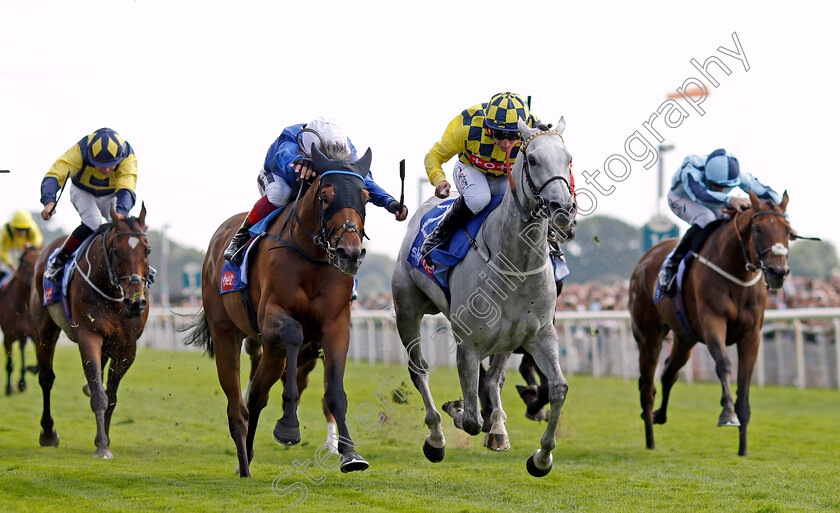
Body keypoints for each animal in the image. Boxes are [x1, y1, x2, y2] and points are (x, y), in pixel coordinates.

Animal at [0, 243, 40, 392]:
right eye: (26, 263)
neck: (21, 305)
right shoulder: (8, 337)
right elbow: (9, 364)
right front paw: (8, 387)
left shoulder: (34, 335)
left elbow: (37, 365)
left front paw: (30, 369)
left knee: (22, 348)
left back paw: (23, 382)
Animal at [29, 206, 153, 458]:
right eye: (116, 251)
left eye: (147, 250)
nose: (136, 302)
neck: (113, 295)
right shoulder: (89, 336)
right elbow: (98, 393)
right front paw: (102, 445)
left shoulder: (127, 347)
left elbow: (111, 396)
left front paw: (105, 437)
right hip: (45, 329)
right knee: (46, 378)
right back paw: (48, 432)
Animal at [187, 143, 374, 476]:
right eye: (326, 197)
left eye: (364, 197)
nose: (349, 253)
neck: (313, 260)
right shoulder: (271, 317)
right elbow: (294, 333)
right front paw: (288, 427)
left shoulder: (336, 325)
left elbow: (334, 393)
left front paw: (350, 454)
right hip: (227, 334)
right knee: (237, 405)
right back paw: (244, 465)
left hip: (270, 352)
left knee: (257, 395)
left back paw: (248, 456)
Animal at [390, 119, 576, 476]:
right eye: (532, 159)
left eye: (568, 158)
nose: (563, 208)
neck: (516, 265)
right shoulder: (469, 343)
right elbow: (472, 419)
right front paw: (457, 409)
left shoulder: (538, 334)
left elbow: (557, 388)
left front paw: (541, 458)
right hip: (407, 306)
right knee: (419, 370)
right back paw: (436, 437)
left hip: (506, 338)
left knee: (494, 379)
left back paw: (499, 428)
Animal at [632, 190, 796, 454]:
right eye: (758, 228)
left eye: (788, 231)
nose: (778, 272)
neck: (738, 272)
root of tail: (644, 260)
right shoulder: (713, 322)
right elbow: (723, 364)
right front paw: (727, 414)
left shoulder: (751, 335)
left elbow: (744, 383)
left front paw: (743, 448)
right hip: (649, 336)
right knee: (647, 386)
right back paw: (650, 439)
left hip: (685, 338)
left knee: (669, 373)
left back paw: (659, 416)